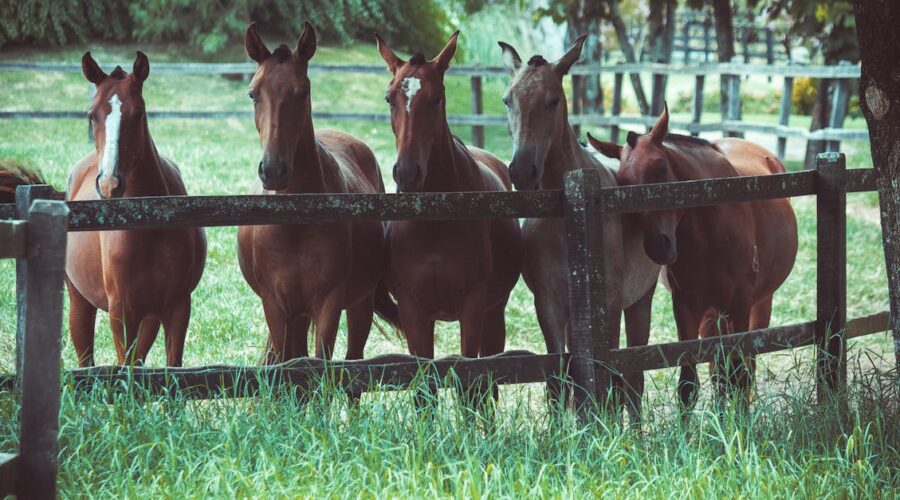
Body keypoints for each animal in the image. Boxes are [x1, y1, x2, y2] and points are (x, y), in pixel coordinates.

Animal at [66, 51, 207, 367]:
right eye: (91, 115)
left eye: (139, 112)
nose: (109, 183)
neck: (149, 223)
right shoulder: (122, 312)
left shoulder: (177, 307)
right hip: (80, 303)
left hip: (150, 317)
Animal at [239, 22, 393, 364]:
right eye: (253, 93)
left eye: (303, 91)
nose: (273, 169)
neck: (296, 224)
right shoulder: (276, 306)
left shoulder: (328, 304)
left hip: (359, 304)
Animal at [375, 32, 522, 394]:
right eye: (389, 98)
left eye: (437, 97)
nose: (407, 173)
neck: (434, 221)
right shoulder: (413, 310)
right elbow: (423, 387)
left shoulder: (473, 305)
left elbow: (471, 381)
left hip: (494, 312)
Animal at [499, 38, 661, 418]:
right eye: (507, 100)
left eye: (554, 100)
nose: (522, 171)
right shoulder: (548, 303)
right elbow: (559, 379)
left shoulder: (610, 304)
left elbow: (611, 378)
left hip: (641, 300)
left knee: (634, 379)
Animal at [588, 106, 798, 406]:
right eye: (623, 183)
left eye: (661, 168)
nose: (658, 246)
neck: (712, 227)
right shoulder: (687, 307)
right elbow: (689, 384)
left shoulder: (740, 305)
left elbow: (739, 375)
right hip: (712, 314)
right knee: (718, 371)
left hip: (759, 304)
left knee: (745, 367)